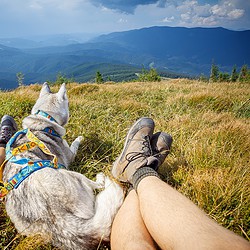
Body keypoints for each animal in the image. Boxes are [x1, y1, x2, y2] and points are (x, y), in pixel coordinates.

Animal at [2, 83, 124, 249]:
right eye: (69, 103)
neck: (44, 119)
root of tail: (56, 220)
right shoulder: (71, 154)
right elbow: (74, 144)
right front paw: (79, 138)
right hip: (75, 176)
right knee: (97, 185)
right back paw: (101, 178)